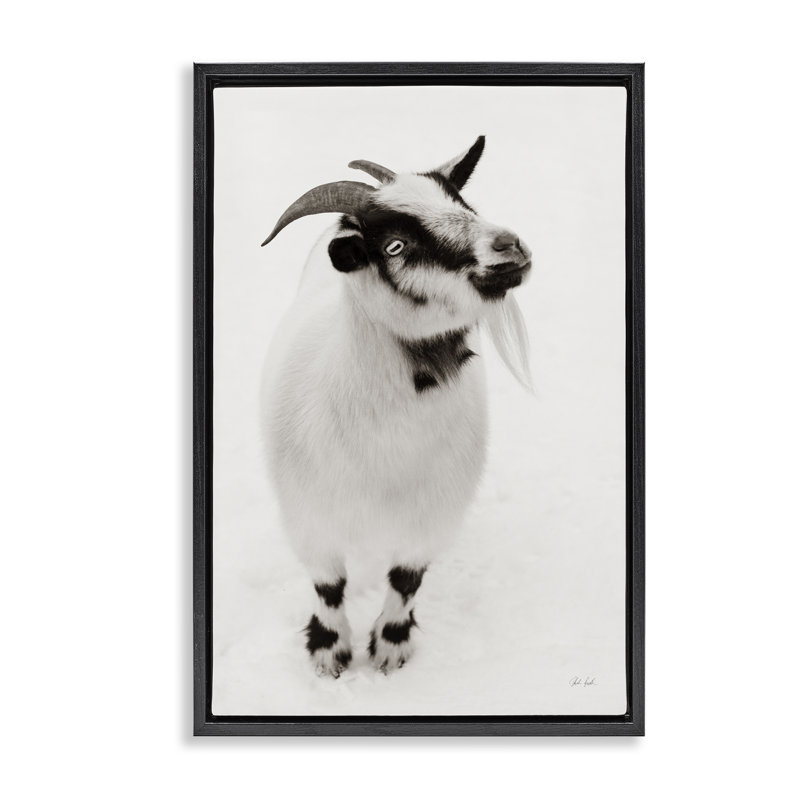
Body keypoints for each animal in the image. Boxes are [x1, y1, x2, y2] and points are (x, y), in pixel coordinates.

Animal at [260, 137, 532, 676]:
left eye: (464, 204)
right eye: (395, 246)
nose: (508, 246)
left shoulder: (434, 516)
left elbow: (406, 581)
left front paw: (390, 649)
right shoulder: (307, 517)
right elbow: (328, 586)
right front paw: (329, 653)